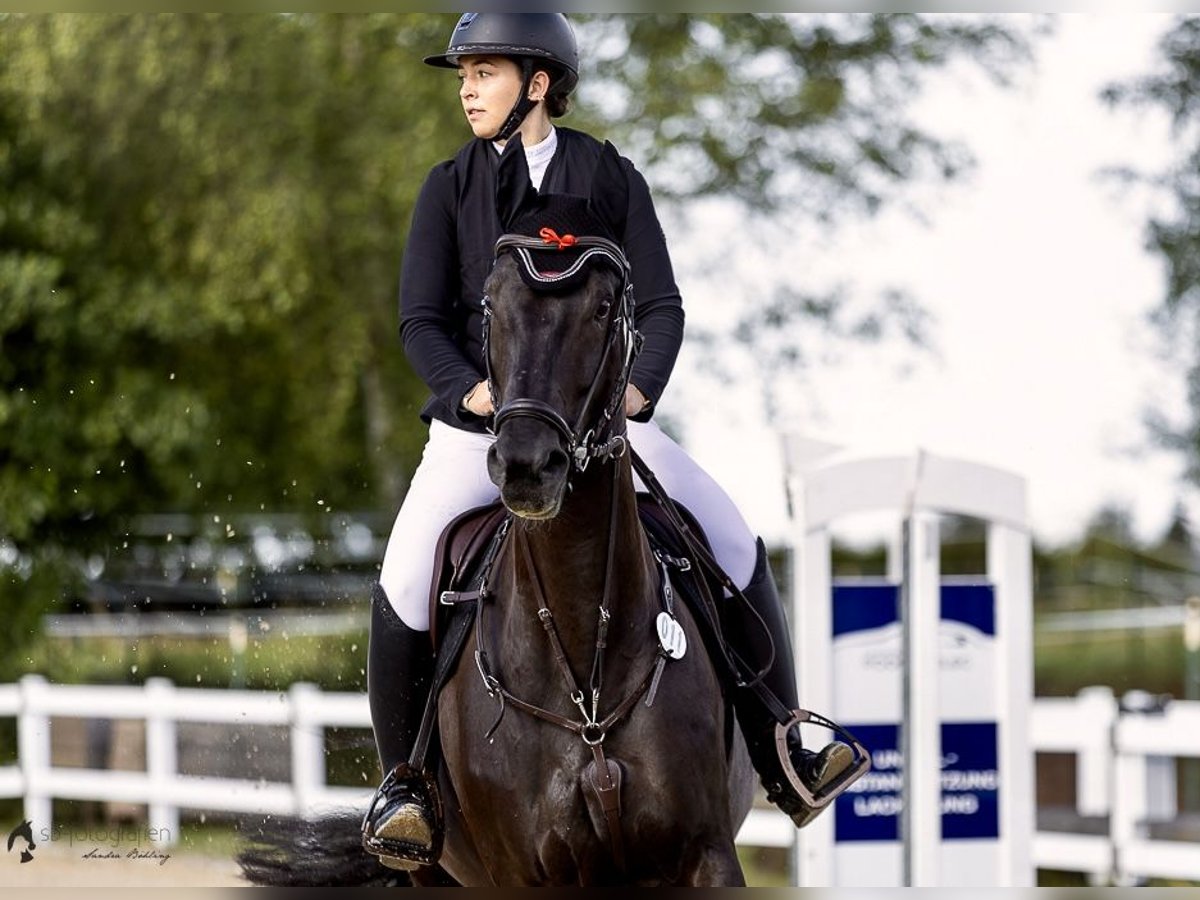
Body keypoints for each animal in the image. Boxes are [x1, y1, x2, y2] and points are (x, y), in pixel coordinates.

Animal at [238, 141, 753, 888]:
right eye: (491, 301)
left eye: (604, 307)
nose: (526, 465)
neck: (586, 685)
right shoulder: (528, 875)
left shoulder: (705, 855)